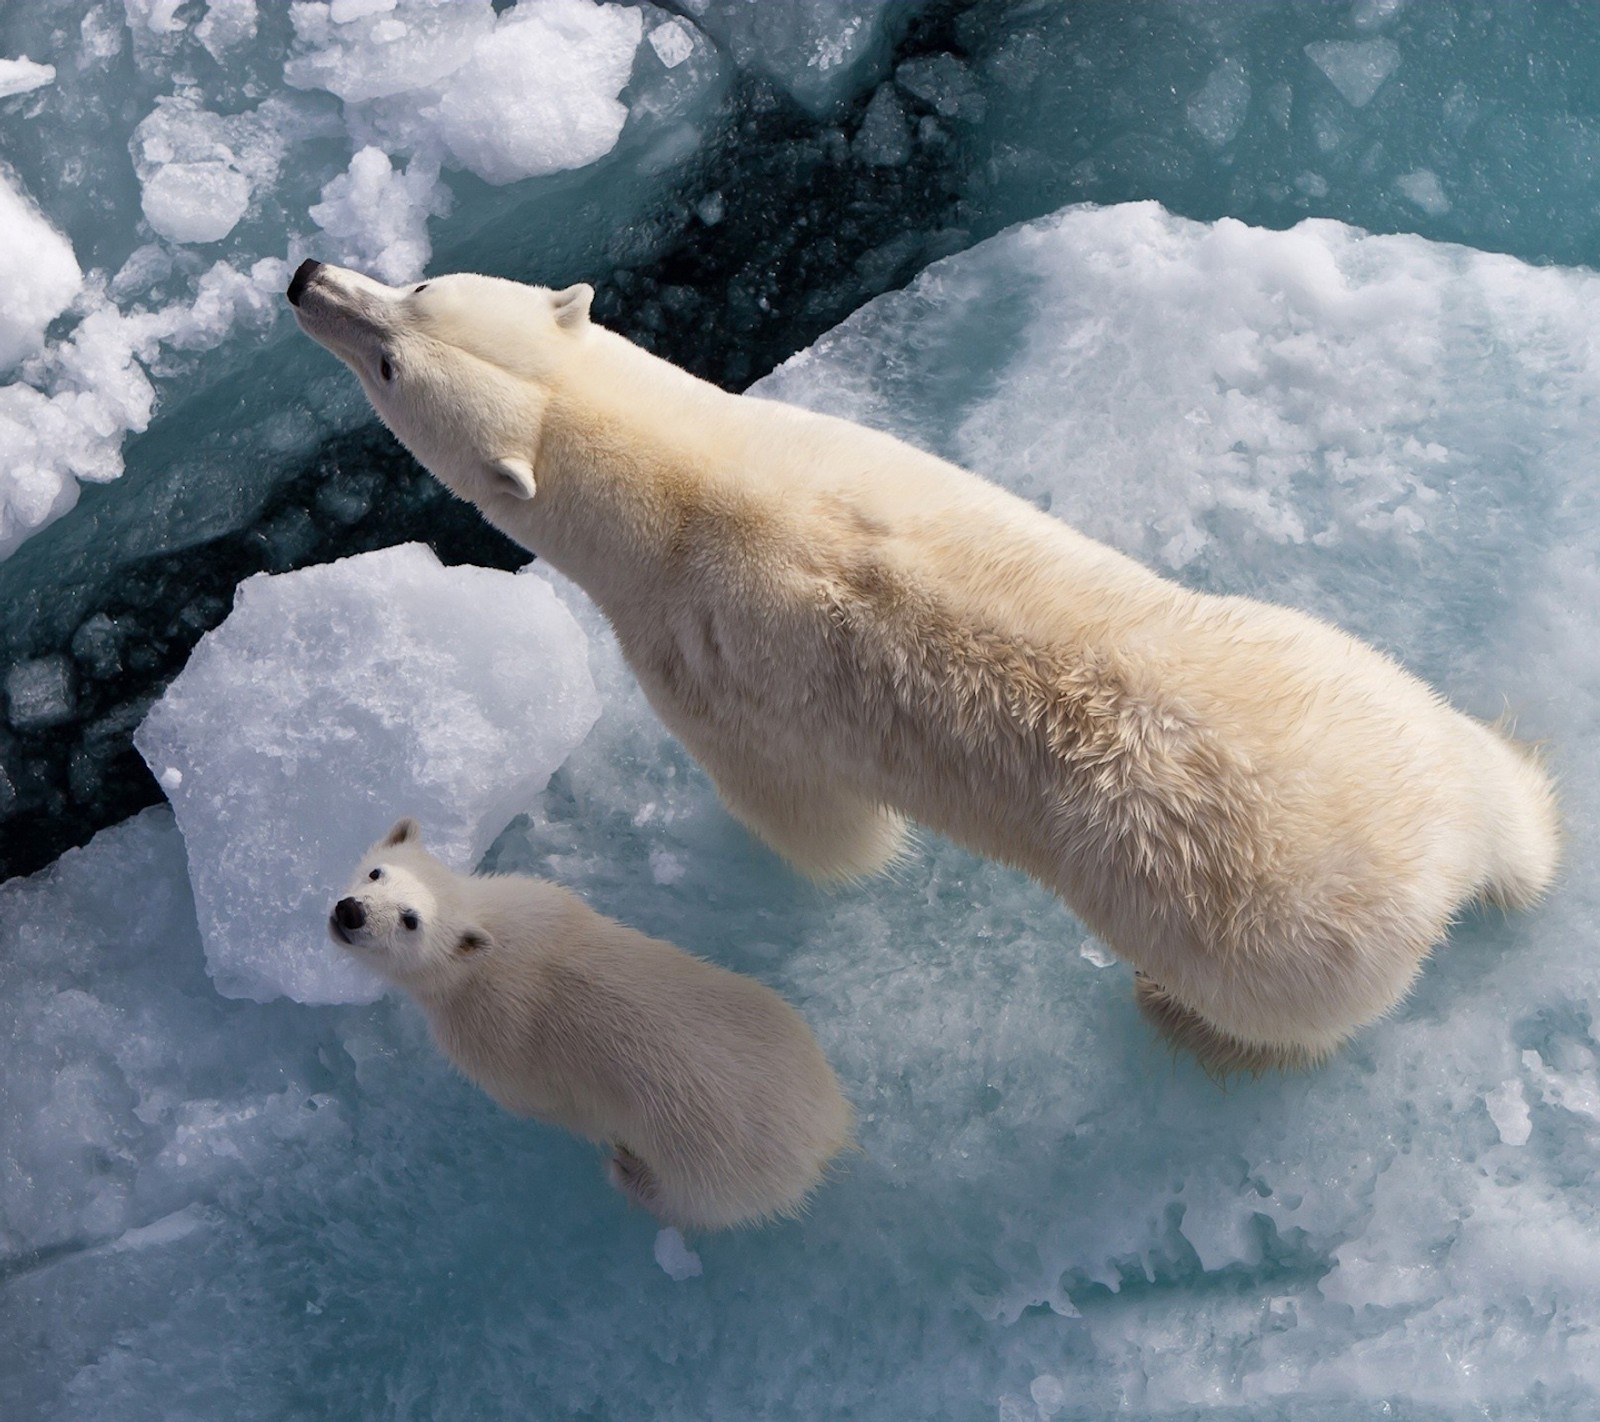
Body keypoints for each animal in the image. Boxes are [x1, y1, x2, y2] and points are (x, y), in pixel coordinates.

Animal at [291, 260, 1561, 1068]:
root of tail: (1434, 860)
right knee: (1488, 773)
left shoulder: (699, 665)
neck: (686, 486)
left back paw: (1177, 1018)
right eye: (418, 293)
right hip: (1352, 680)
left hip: (1255, 934)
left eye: (395, 351)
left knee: (1276, 1015)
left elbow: (811, 823)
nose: (306, 276)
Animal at [331, 815, 857, 1228]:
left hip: (712, 1166)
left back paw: (627, 1172)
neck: (493, 944)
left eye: (410, 919)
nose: (351, 911)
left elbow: (542, 1104)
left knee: (691, 1203)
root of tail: (827, 1134)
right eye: (376, 872)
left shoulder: (493, 1043)